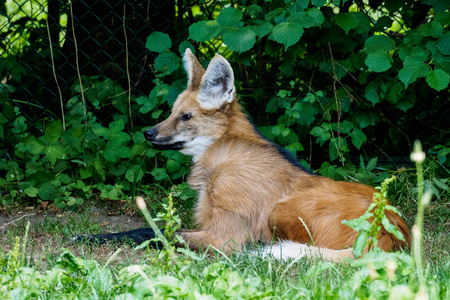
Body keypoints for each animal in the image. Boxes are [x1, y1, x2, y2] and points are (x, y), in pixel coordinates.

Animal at [78, 49, 412, 260]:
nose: (148, 134)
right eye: (172, 113)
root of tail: (391, 234)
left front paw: (89, 238)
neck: (222, 154)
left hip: (283, 209)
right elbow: (158, 228)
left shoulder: (223, 237)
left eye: (185, 117)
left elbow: (154, 232)